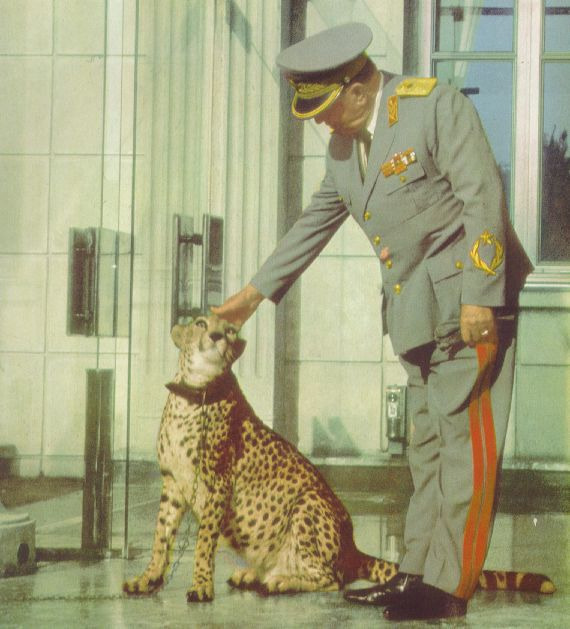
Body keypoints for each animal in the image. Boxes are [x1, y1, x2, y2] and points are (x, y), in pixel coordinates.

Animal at [123, 314, 555, 602]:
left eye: (229, 331)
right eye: (200, 323)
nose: (215, 336)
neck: (195, 391)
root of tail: (351, 545)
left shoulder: (217, 486)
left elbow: (203, 542)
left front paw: (199, 585)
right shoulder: (172, 484)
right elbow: (161, 538)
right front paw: (148, 579)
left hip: (308, 506)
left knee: (332, 579)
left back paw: (280, 580)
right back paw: (254, 575)